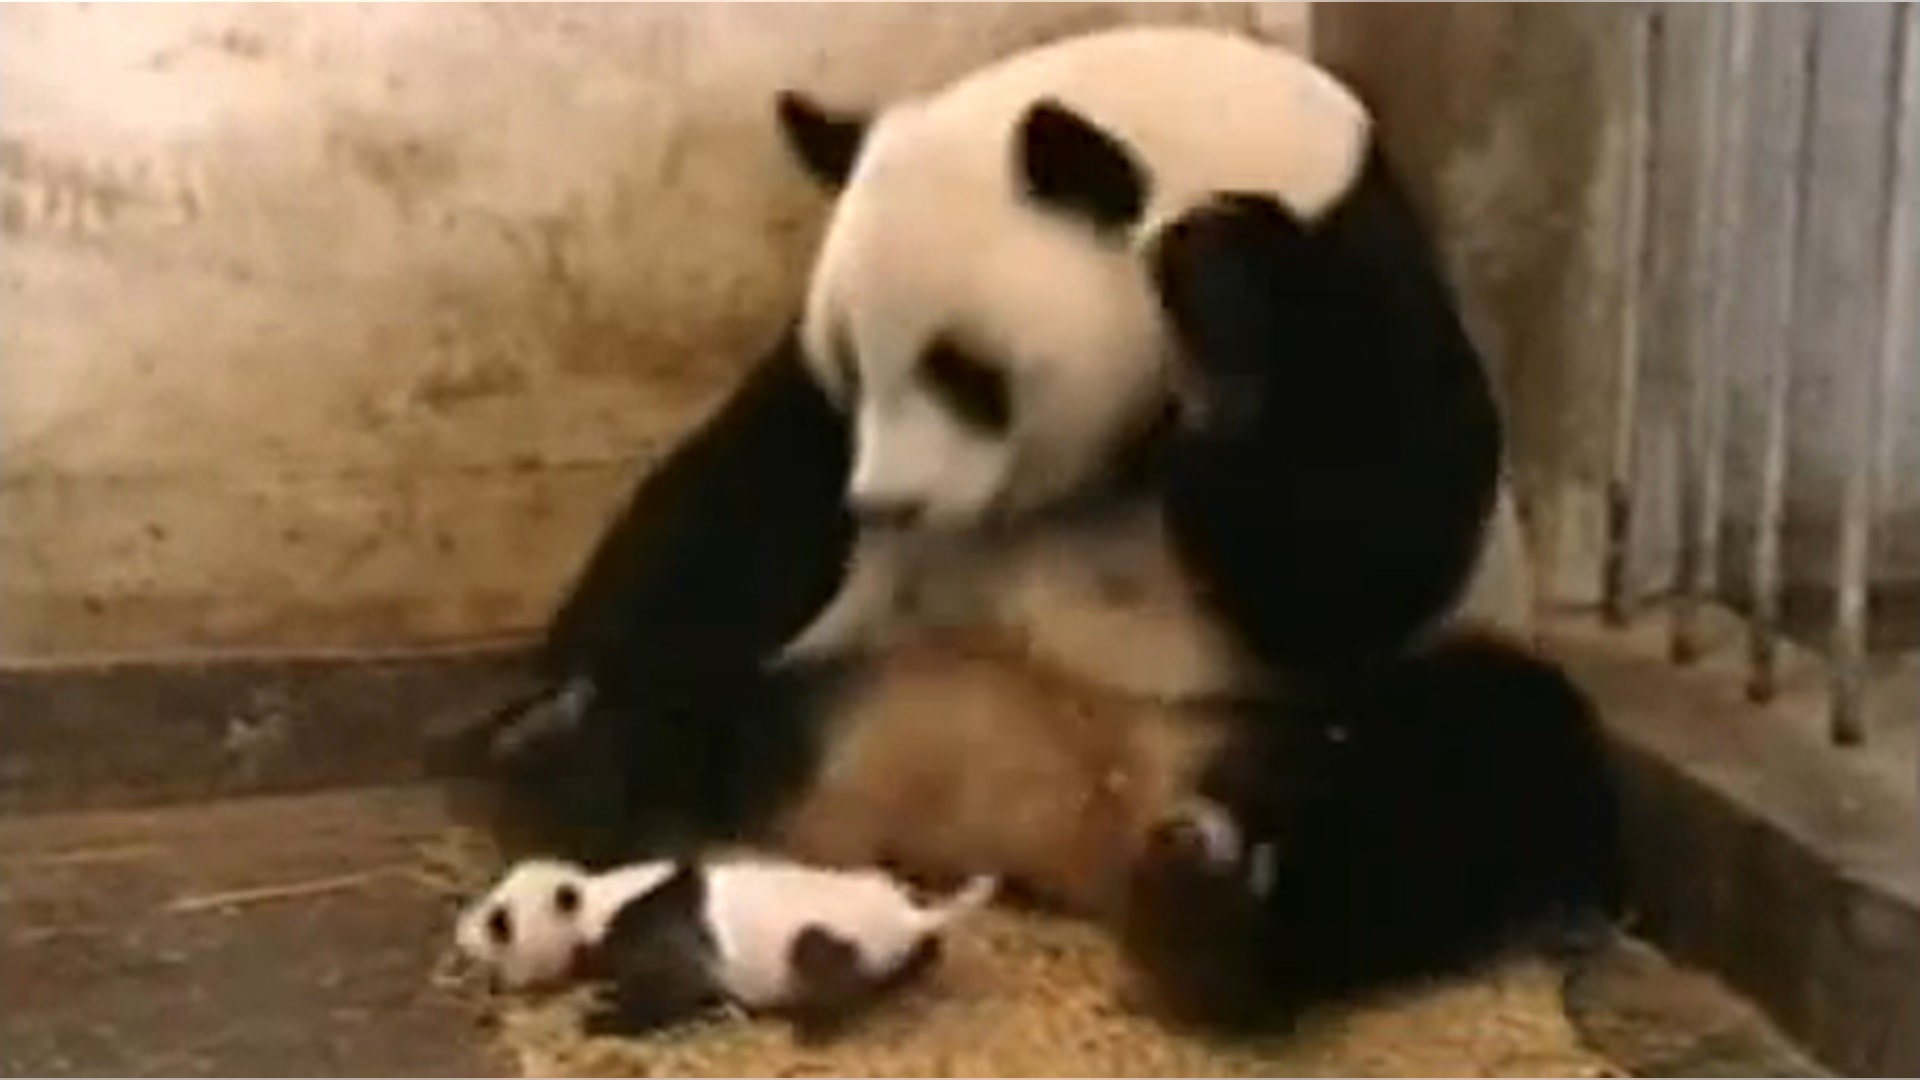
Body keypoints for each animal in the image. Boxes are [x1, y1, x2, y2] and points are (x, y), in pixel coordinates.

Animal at [444, 25, 1620, 1032]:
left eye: (966, 372)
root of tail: (1049, 819)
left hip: (1282, 722)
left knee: (1484, 764)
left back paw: (1211, 918)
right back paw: (572, 759)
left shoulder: (1359, 279)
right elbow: (734, 503)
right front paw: (571, 705)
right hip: (842, 676)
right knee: (708, 718)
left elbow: (1361, 552)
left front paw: (1226, 306)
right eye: (855, 365)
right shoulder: (806, 426)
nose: (888, 507)